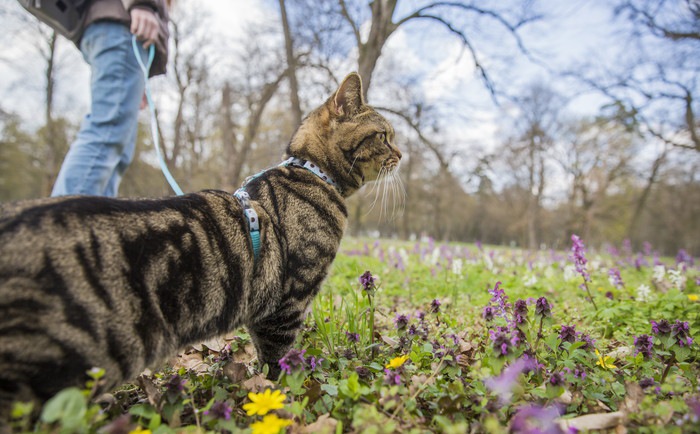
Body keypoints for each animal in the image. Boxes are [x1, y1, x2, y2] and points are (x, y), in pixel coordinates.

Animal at [0, 73, 402, 418]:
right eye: (384, 136)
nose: (401, 154)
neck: (311, 172)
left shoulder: (263, 310)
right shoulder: (287, 301)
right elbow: (277, 360)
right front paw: (282, 394)